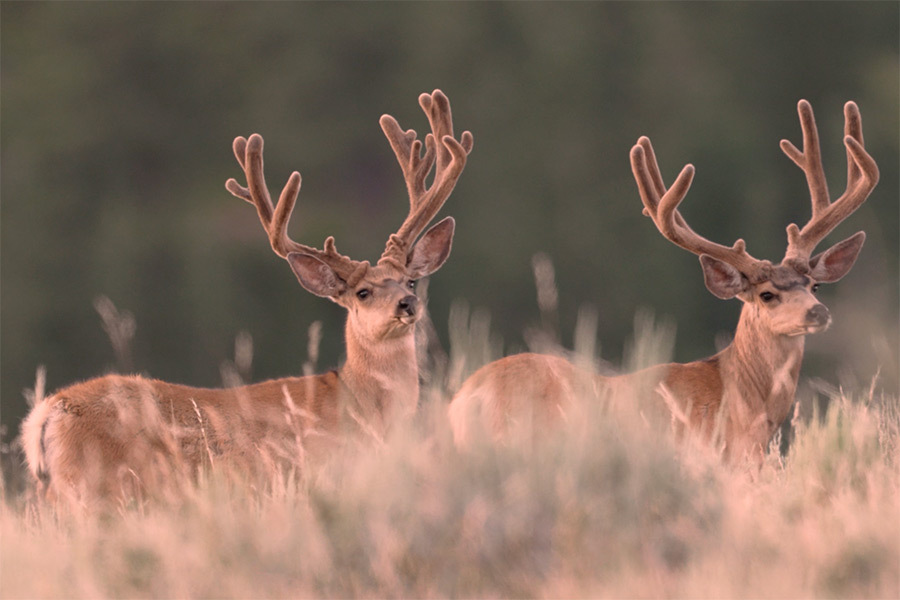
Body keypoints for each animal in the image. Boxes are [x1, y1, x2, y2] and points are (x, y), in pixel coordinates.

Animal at [21, 90, 473, 505]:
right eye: (362, 292)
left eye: (410, 281)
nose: (407, 305)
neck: (362, 406)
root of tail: (48, 413)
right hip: (102, 491)